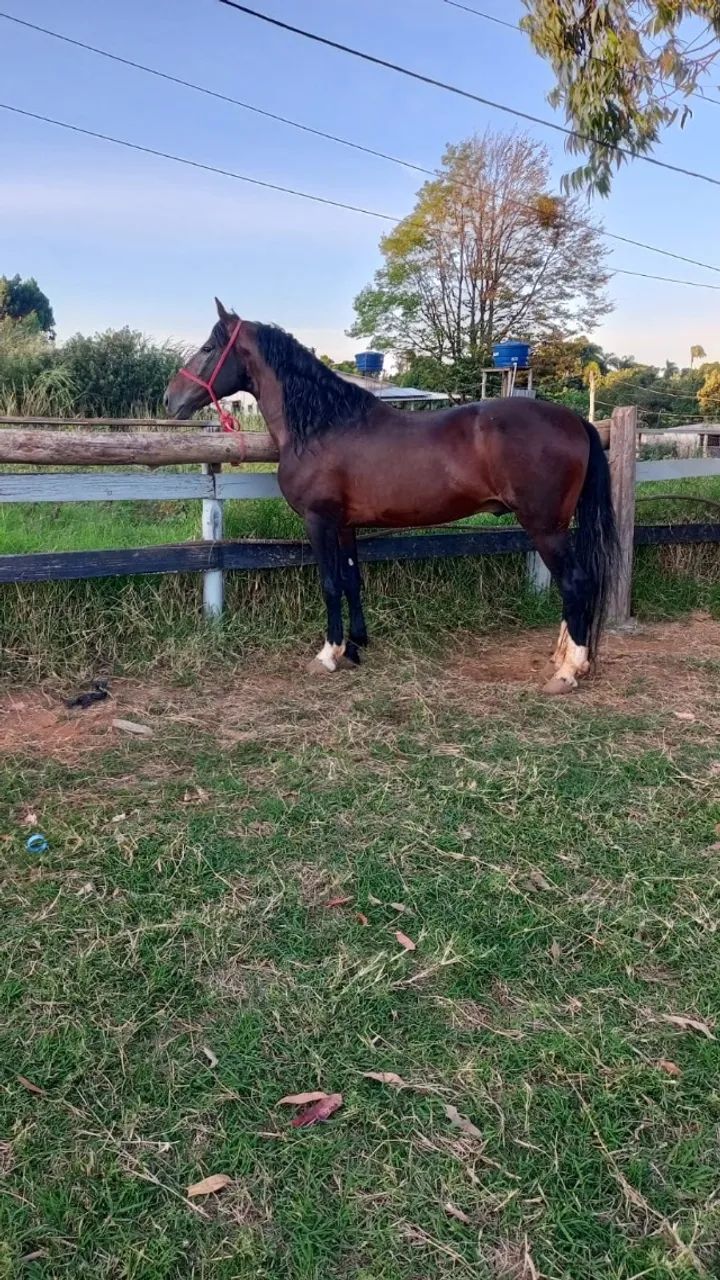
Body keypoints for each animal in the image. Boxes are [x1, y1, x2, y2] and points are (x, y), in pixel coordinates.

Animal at [164, 299, 618, 694]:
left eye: (207, 348)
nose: (170, 399)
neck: (324, 426)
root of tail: (575, 419)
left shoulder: (318, 520)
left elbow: (329, 582)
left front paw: (327, 654)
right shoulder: (344, 524)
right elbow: (351, 580)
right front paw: (354, 647)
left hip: (545, 527)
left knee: (575, 583)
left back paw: (568, 671)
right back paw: (562, 657)